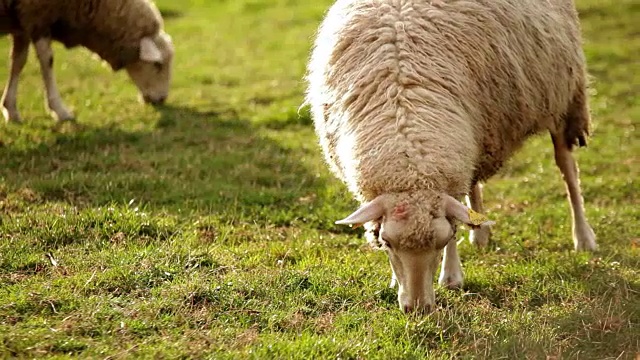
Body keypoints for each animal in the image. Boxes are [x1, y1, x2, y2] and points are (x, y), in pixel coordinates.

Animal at [0, 0, 174, 124]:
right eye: (158, 65)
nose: (162, 99)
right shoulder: (37, 15)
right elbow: (47, 60)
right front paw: (60, 111)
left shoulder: (22, 22)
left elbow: (18, 61)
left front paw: (10, 109)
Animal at [304, 0, 596, 314]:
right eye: (387, 243)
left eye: (442, 241)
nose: (418, 309)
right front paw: (396, 280)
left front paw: (451, 276)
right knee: (473, 184)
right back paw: (480, 234)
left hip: (563, 96)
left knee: (567, 169)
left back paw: (583, 238)